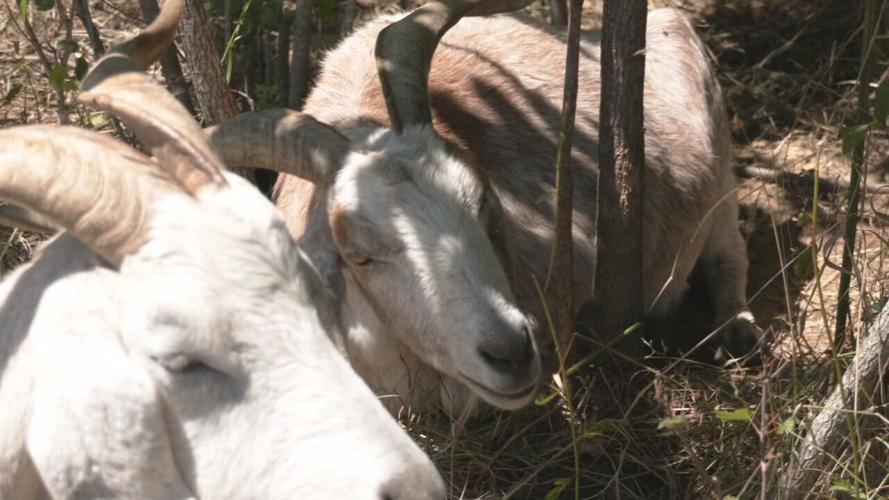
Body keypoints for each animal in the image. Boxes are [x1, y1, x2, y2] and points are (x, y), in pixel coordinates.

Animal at [207, 0, 761, 415]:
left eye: (483, 203)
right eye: (358, 255)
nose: (510, 354)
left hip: (720, 183)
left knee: (730, 256)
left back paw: (736, 331)